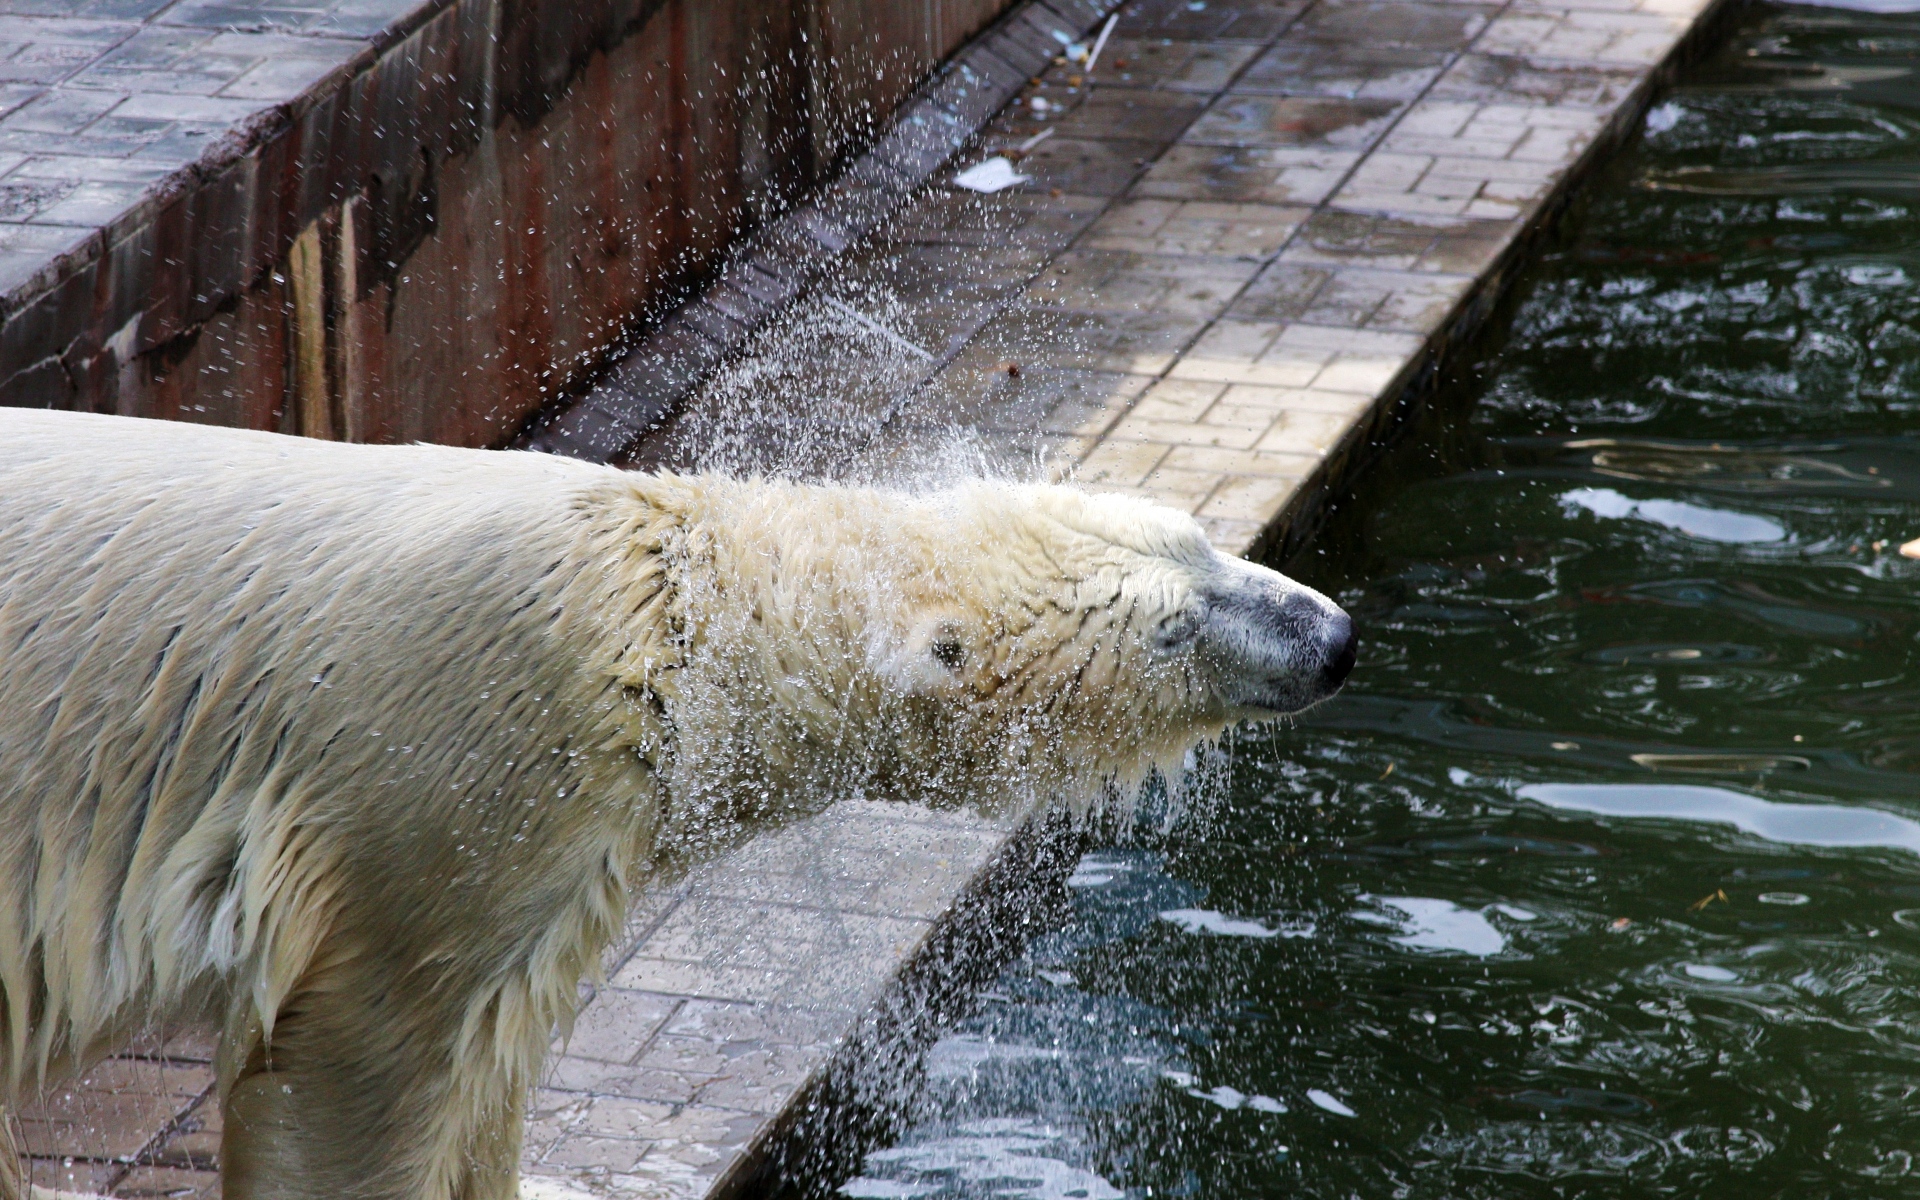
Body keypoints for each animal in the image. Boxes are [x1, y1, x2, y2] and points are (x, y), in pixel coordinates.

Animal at [0, 408, 1354, 1200]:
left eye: (1204, 541)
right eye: (1175, 624)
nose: (1335, 636)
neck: (664, 617)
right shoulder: (449, 782)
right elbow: (358, 1070)